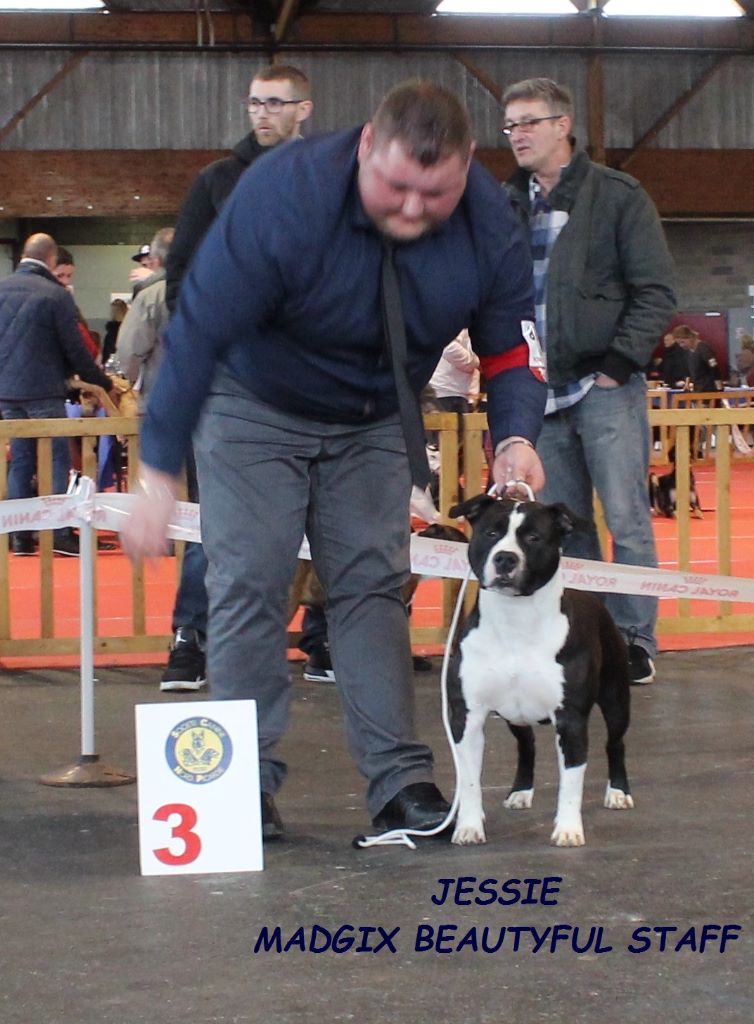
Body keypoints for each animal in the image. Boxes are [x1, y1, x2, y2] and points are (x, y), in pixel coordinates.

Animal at [444, 495, 635, 847]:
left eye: (533, 538)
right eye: (491, 533)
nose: (505, 558)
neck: (515, 620)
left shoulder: (570, 719)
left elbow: (571, 781)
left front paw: (569, 830)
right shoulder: (467, 716)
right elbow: (470, 780)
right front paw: (469, 827)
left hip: (616, 699)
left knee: (615, 743)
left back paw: (618, 792)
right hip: (513, 715)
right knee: (526, 744)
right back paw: (520, 792)